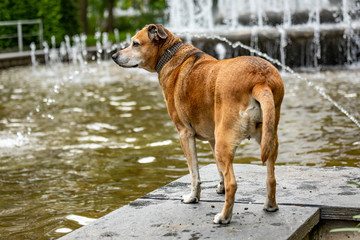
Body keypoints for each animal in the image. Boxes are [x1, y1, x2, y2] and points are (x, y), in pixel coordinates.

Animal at [112, 23, 284, 223]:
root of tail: (260, 80)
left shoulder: (185, 134)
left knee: (233, 183)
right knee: (271, 178)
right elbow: (218, 168)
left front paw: (193, 197)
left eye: (135, 43)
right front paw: (219, 187)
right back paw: (270, 206)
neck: (171, 54)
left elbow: (194, 171)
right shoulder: (212, 137)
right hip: (268, 137)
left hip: (225, 140)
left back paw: (224, 217)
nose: (113, 56)